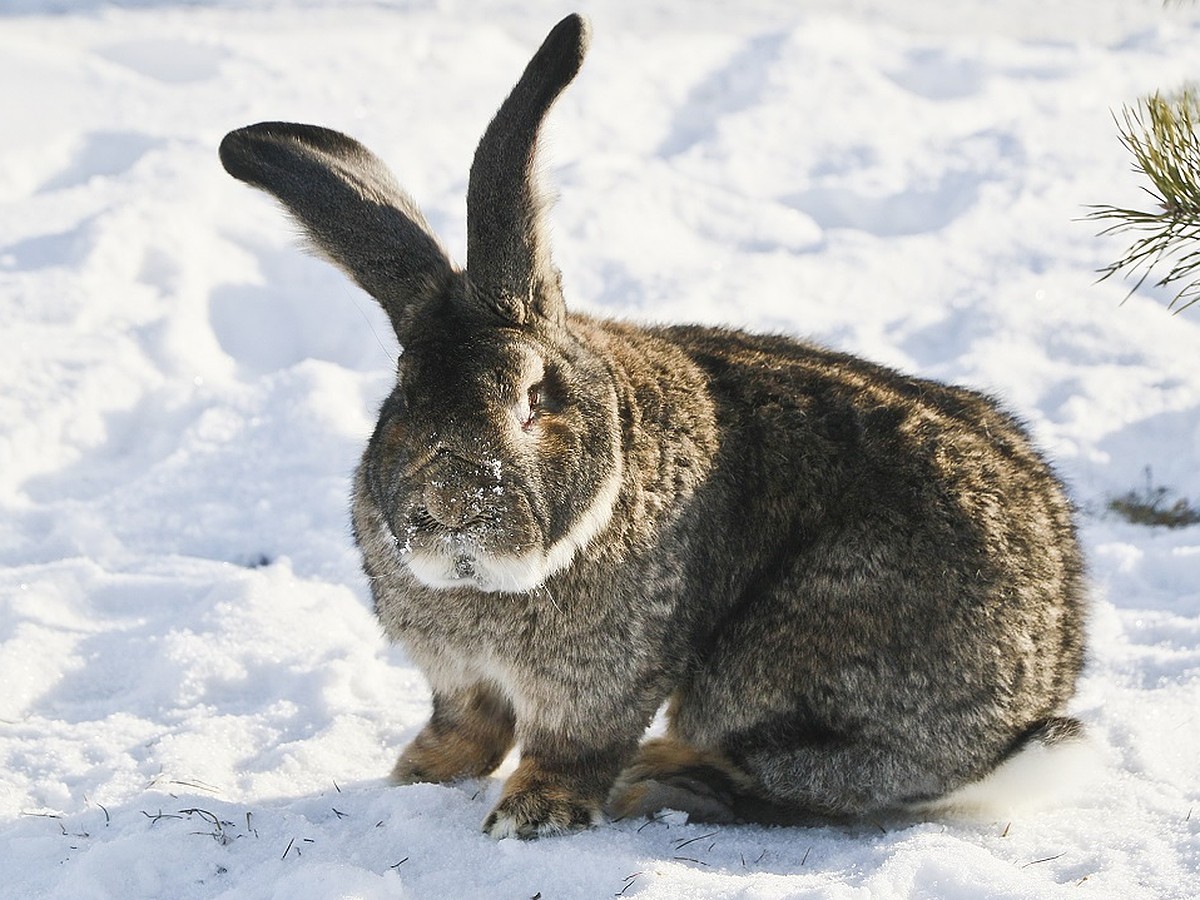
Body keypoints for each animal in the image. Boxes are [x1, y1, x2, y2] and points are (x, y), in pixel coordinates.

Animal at [216, 10, 1089, 844]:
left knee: (815, 777)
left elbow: (571, 748)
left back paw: (669, 778)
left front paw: (530, 817)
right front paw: (416, 779)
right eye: (402, 393)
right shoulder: (458, 677)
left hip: (790, 654)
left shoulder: (603, 678)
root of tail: (1025, 719)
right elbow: (467, 727)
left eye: (533, 397)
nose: (451, 507)